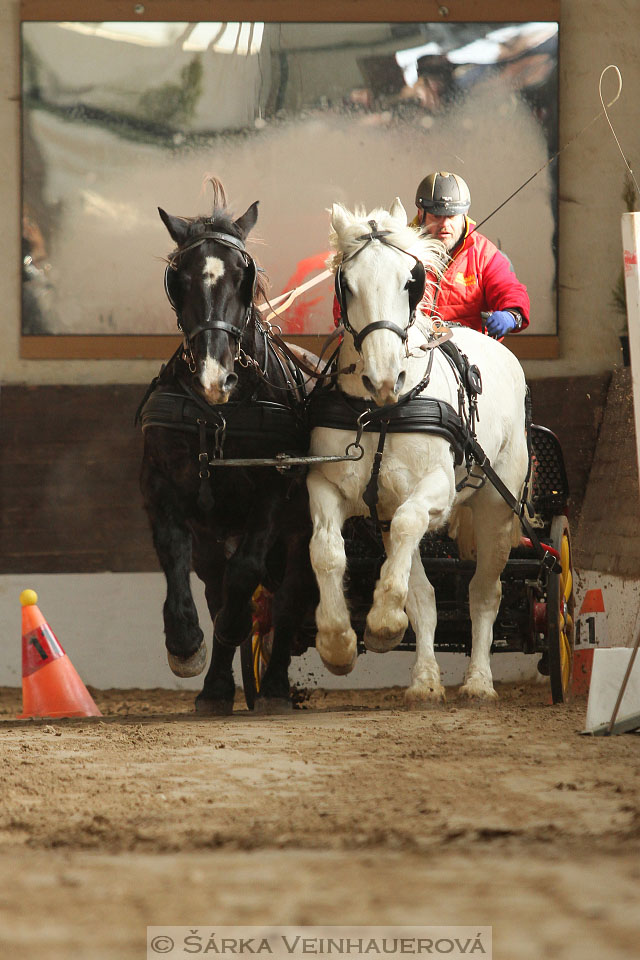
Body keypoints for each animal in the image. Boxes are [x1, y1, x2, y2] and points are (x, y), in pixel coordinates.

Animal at [141, 186, 318, 712]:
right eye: (178, 278)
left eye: (245, 275)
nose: (213, 378)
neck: (221, 413)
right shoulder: (161, 485)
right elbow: (174, 556)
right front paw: (185, 645)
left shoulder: (275, 488)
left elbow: (246, 574)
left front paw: (238, 627)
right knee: (215, 585)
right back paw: (217, 687)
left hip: (305, 529)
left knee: (290, 595)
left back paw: (275, 684)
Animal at [308, 199, 528, 700]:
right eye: (346, 284)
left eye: (410, 281)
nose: (384, 377)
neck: (381, 412)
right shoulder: (326, 482)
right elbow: (326, 550)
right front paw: (338, 642)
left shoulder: (436, 489)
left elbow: (413, 521)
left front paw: (384, 623)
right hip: (385, 511)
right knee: (424, 596)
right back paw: (425, 679)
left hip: (495, 506)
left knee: (484, 594)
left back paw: (478, 681)